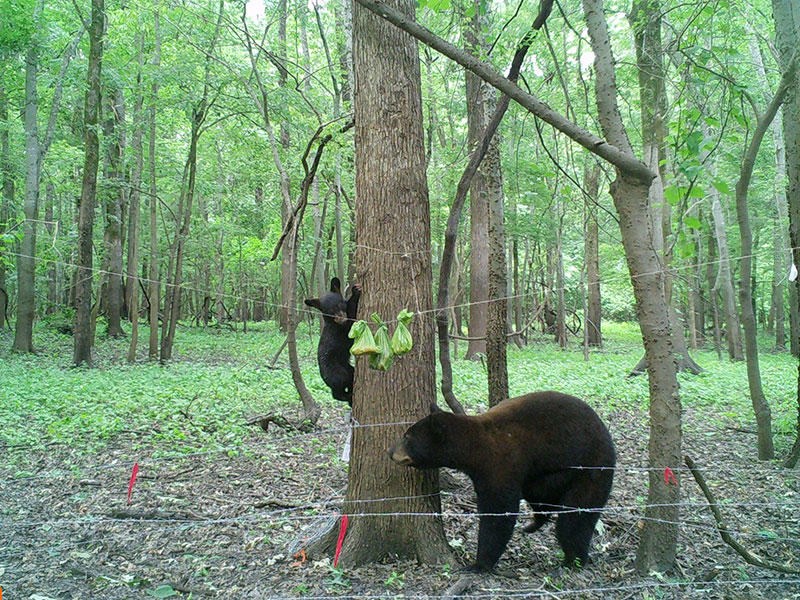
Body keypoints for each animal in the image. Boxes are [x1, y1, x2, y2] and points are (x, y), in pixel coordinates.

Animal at [304, 276, 360, 404]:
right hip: (335, 371)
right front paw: (355, 292)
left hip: (345, 365)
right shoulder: (340, 328)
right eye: (329, 312)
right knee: (340, 385)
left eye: (339, 305)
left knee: (351, 373)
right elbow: (351, 319)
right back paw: (348, 396)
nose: (341, 319)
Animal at [390, 392, 616, 568]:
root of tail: (605, 432)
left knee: (576, 517)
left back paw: (574, 560)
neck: (475, 448)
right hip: (546, 475)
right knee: (540, 497)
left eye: (407, 437)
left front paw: (479, 564)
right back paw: (535, 524)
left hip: (591, 468)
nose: (390, 452)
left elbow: (498, 513)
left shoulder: (499, 466)